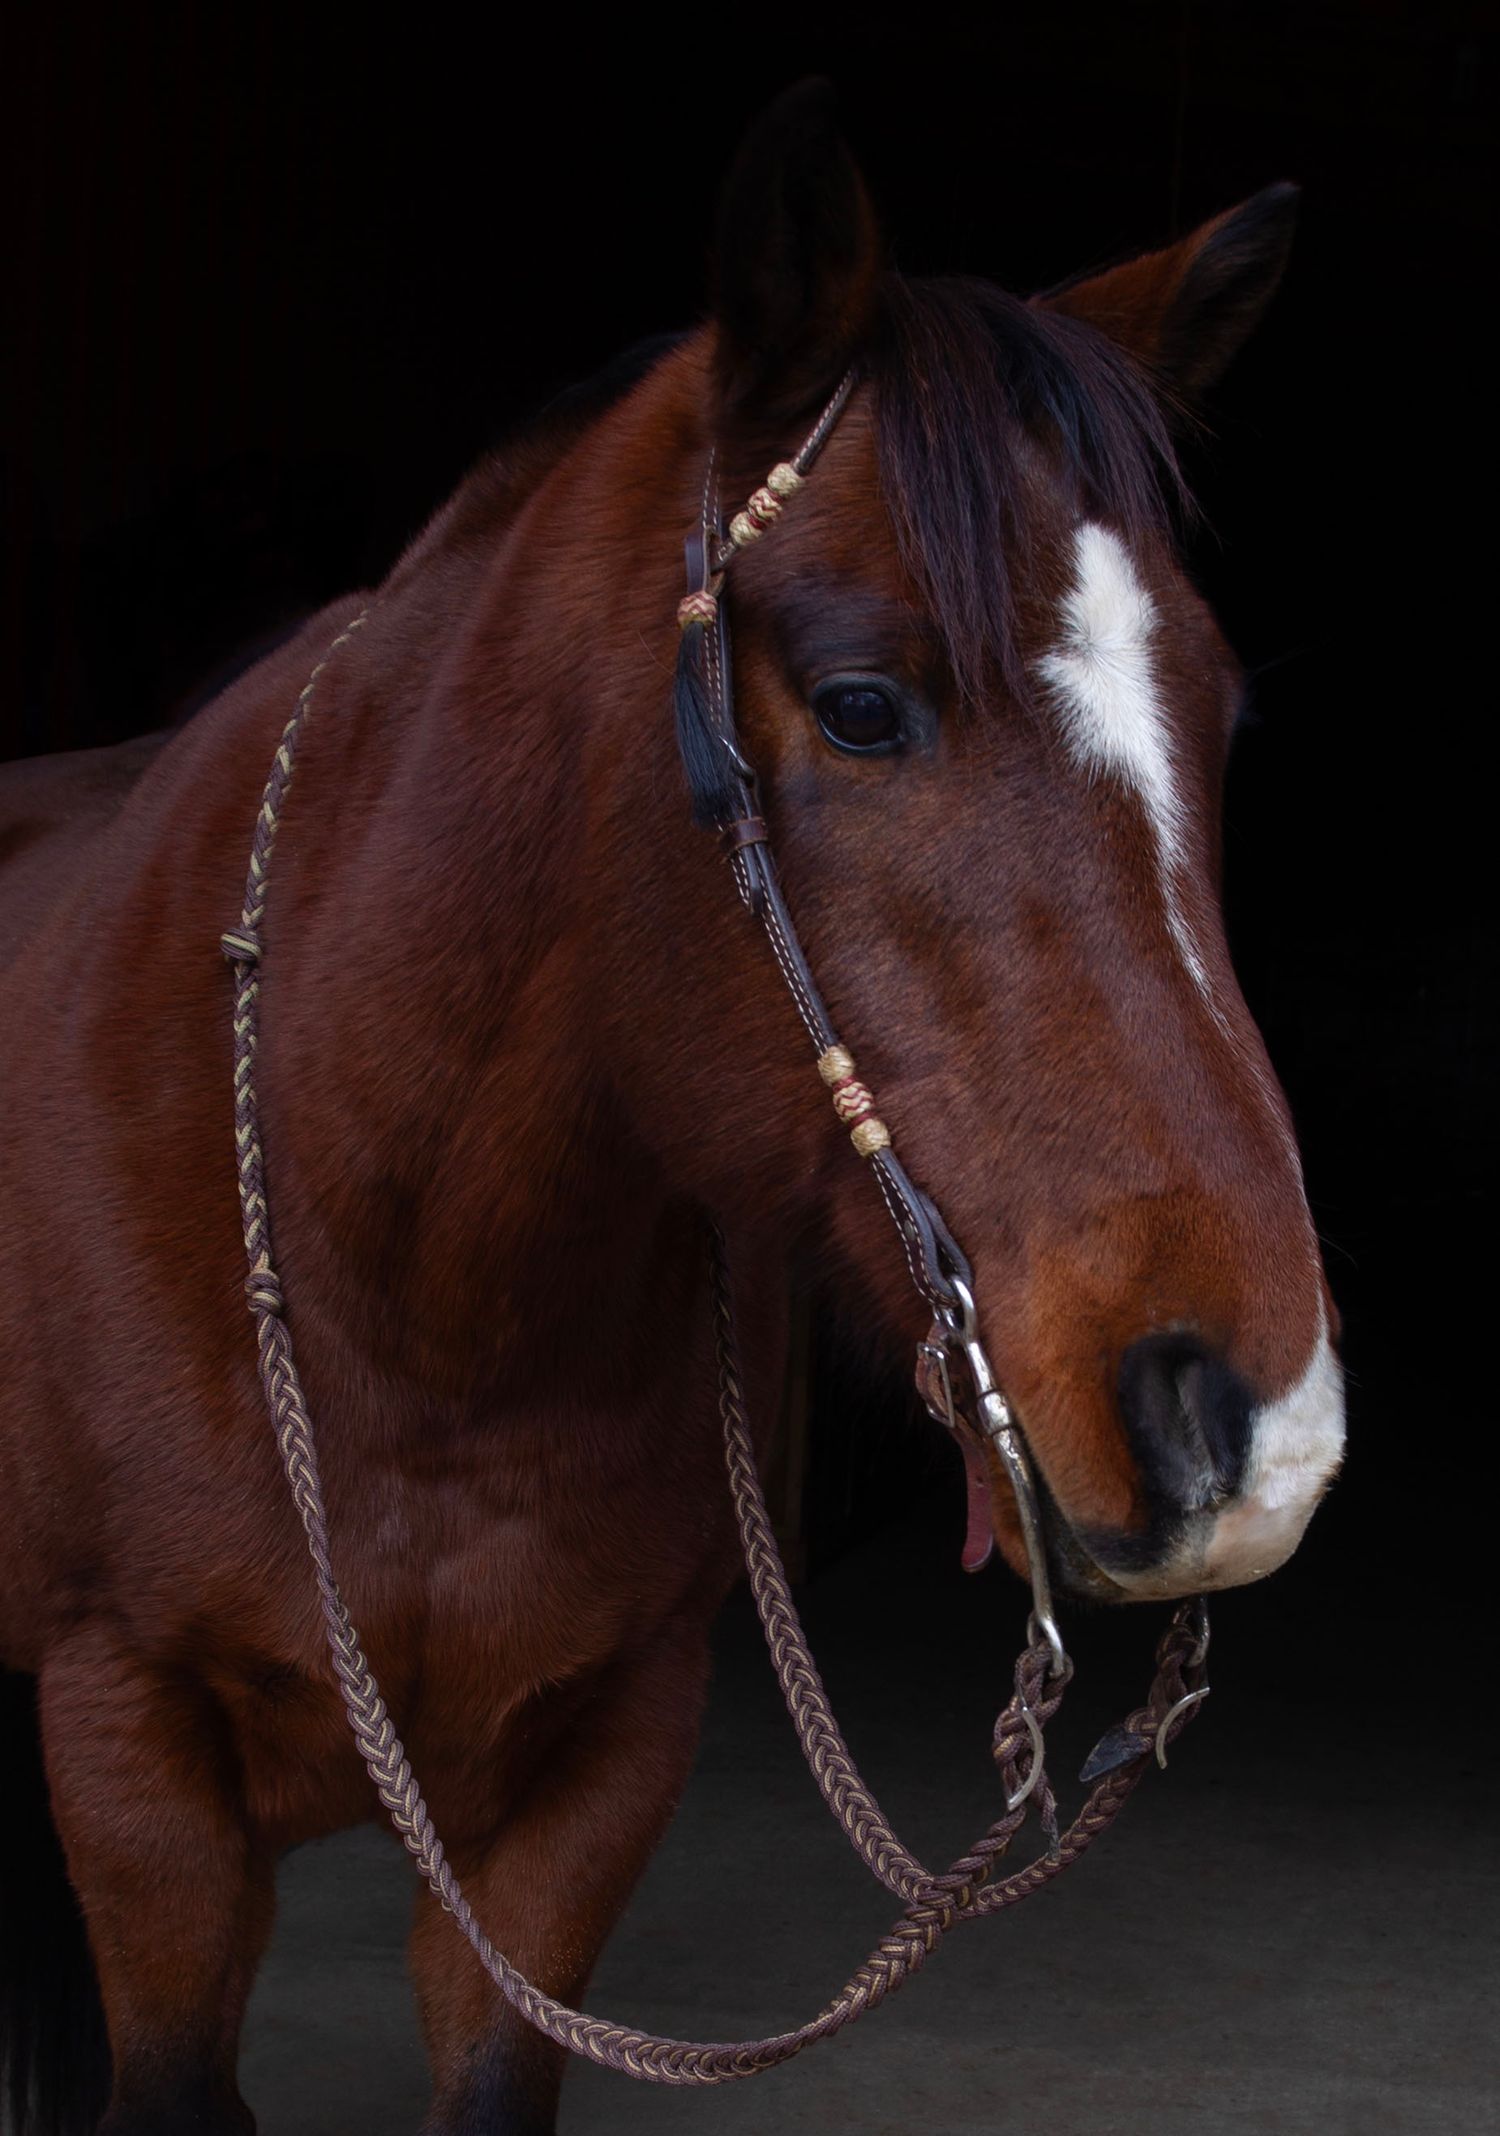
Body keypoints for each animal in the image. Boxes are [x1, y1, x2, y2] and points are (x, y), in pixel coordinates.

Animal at [0, 83, 1344, 2136]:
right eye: (863, 705)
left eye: (1221, 716)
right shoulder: (136, 1772)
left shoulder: (591, 1782)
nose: (1253, 1434)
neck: (400, 1292)